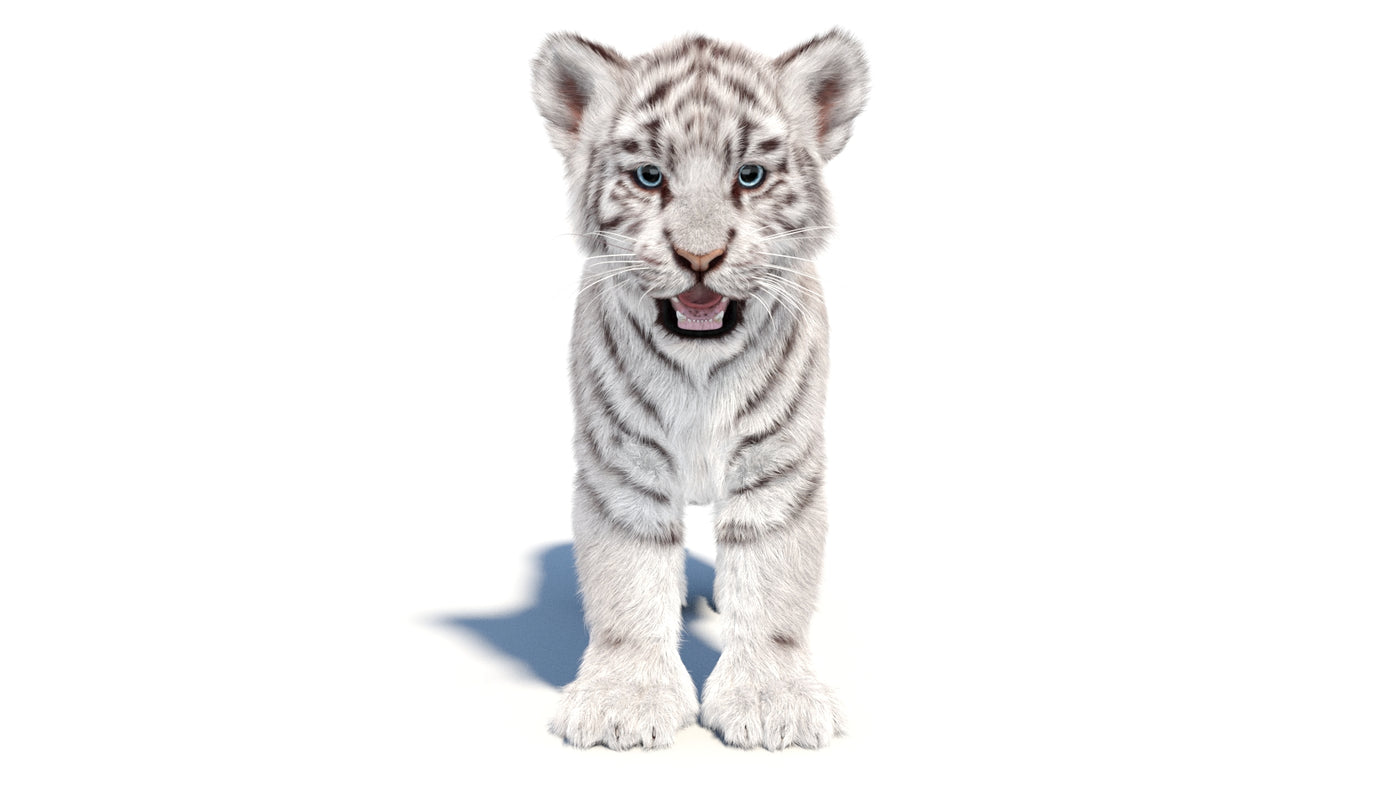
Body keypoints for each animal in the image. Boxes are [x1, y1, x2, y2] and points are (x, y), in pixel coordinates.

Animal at [530, 29, 868, 750]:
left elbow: (771, 587)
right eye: (650, 177)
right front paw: (623, 704)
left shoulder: (778, 469)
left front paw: (773, 704)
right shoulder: (623, 469)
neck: (699, 372)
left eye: (750, 176)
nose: (700, 258)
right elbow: (628, 582)